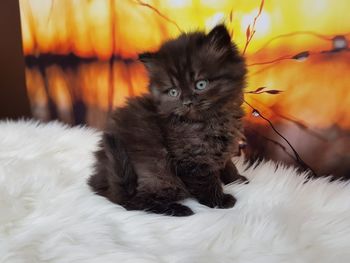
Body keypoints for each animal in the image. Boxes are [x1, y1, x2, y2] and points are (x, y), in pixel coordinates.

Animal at [89, 24, 247, 218]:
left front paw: (237, 179)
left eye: (200, 84)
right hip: (159, 172)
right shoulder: (191, 159)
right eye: (173, 92)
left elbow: (227, 164)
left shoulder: (223, 147)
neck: (213, 120)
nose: (187, 102)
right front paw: (219, 200)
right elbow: (206, 181)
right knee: (133, 203)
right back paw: (179, 209)